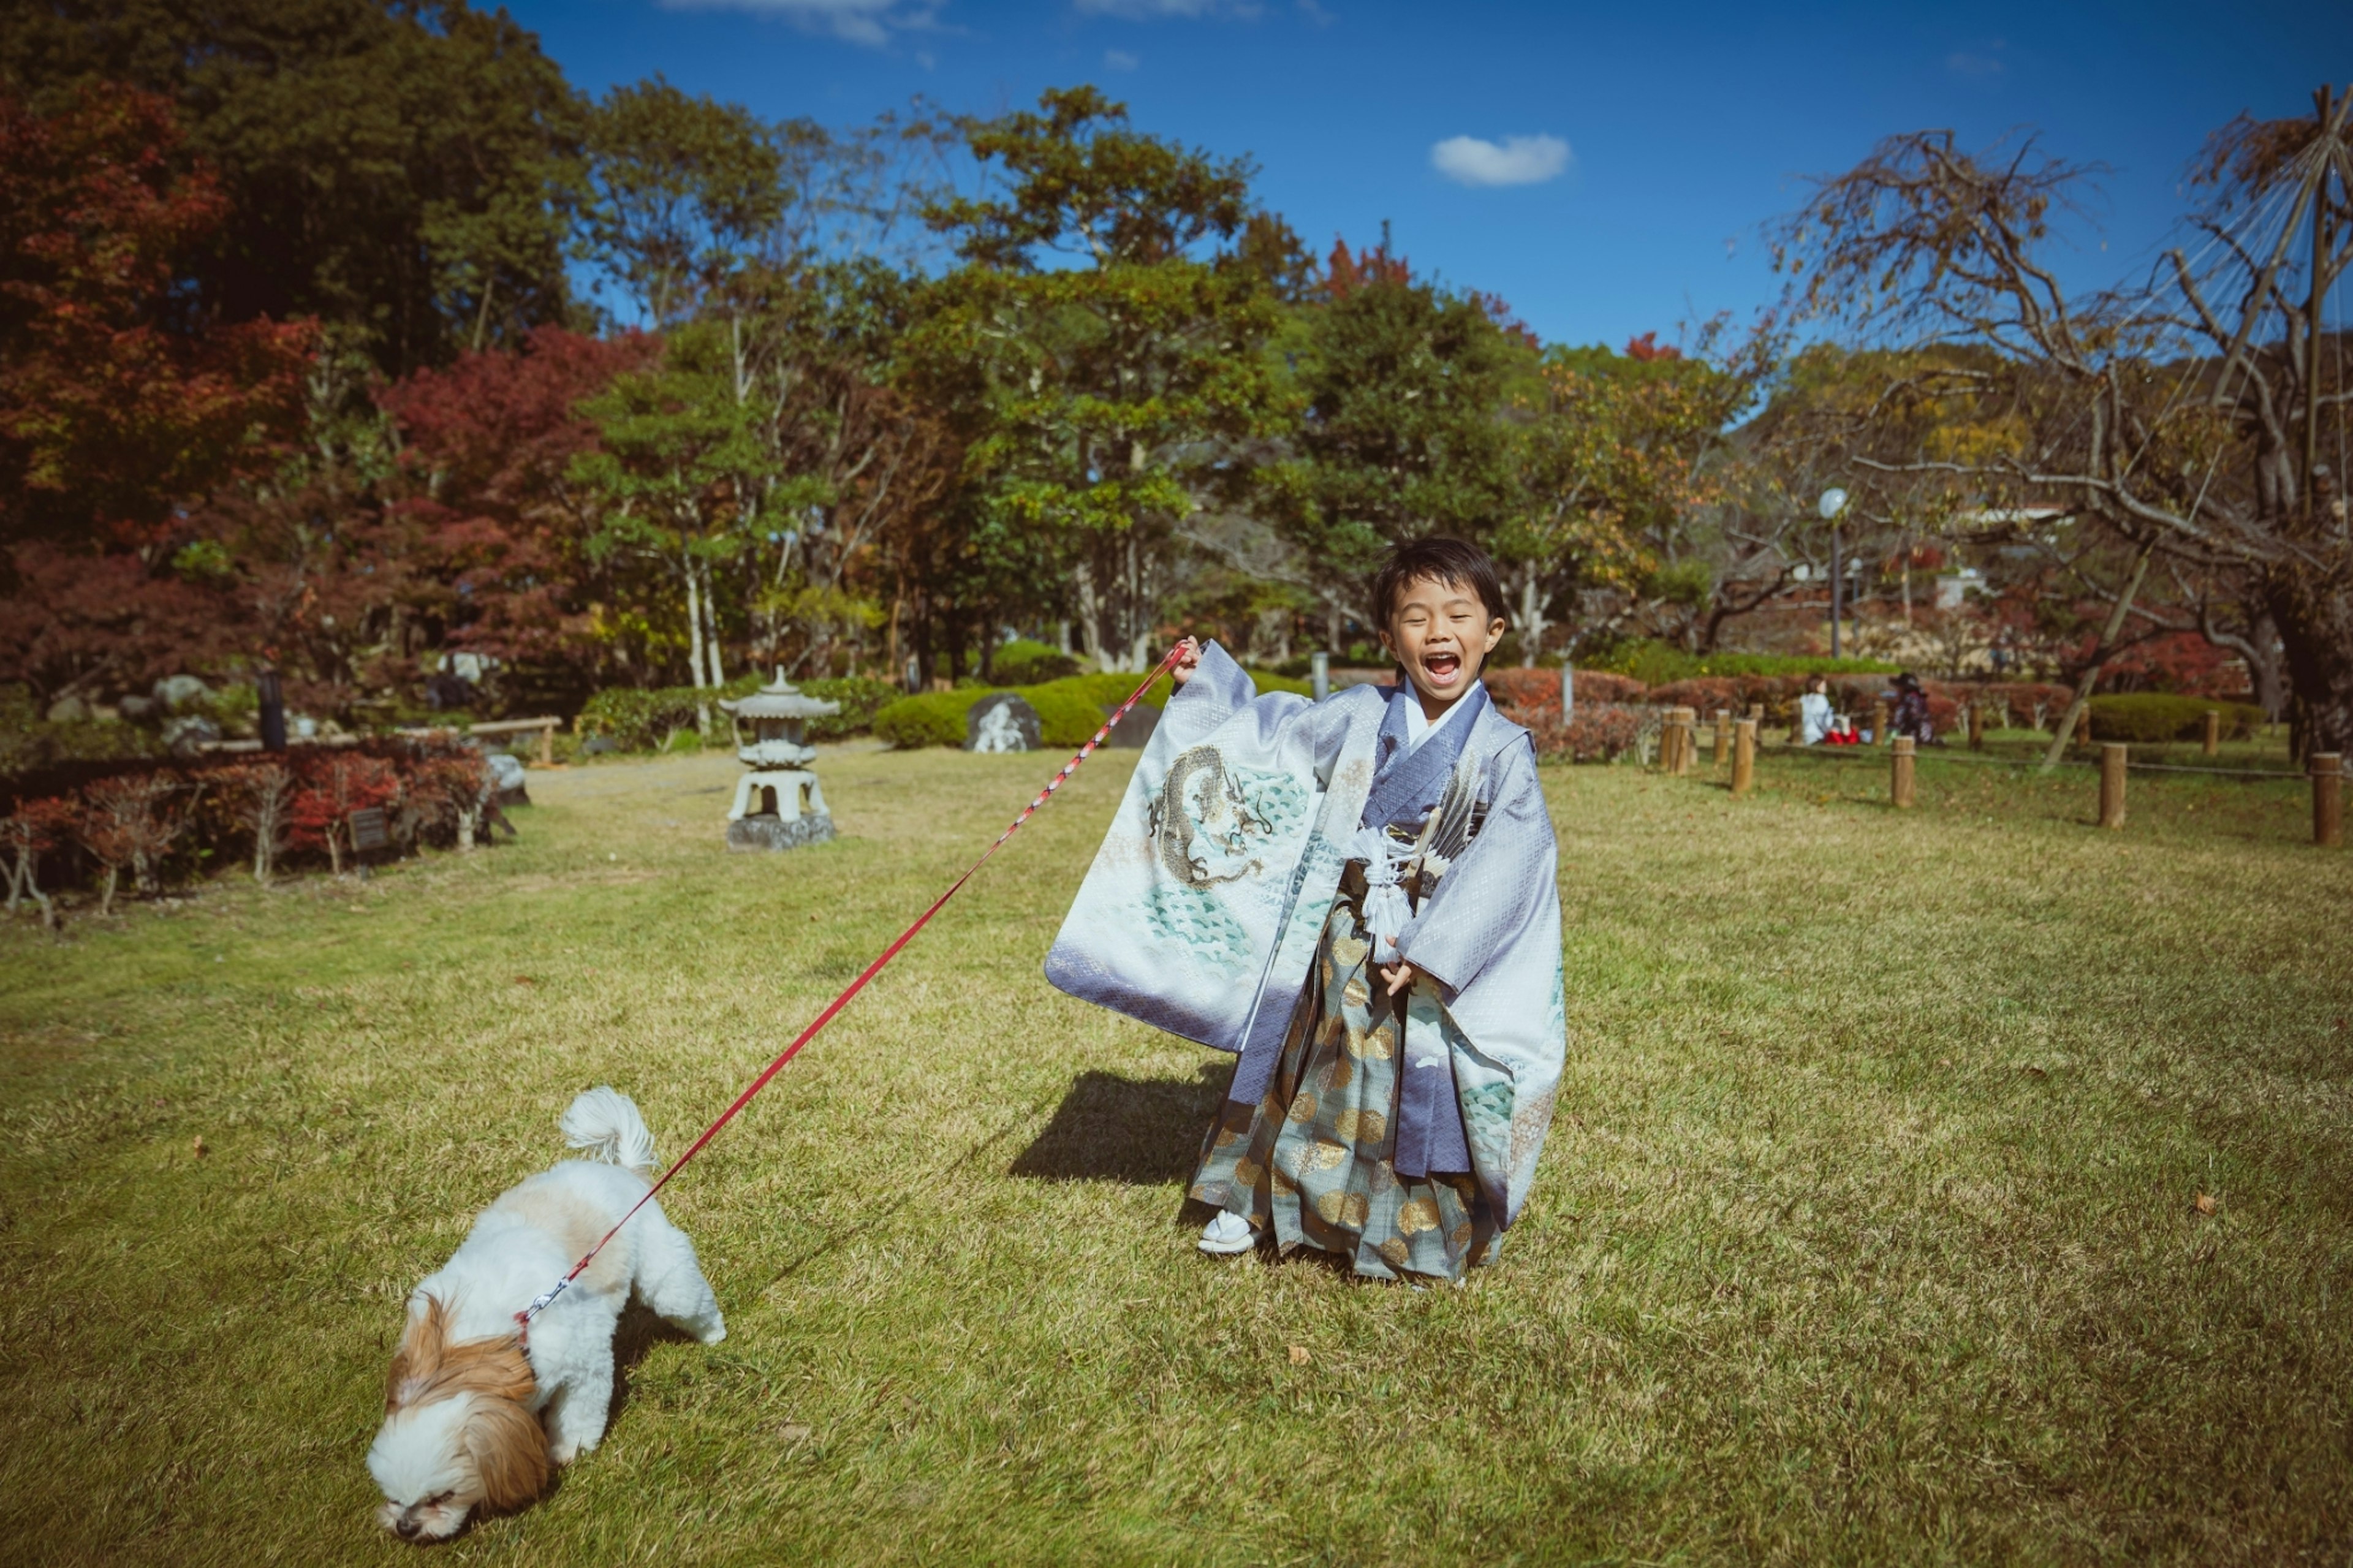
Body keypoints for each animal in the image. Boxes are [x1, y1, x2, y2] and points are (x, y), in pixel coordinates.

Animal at [357, 1083, 720, 1535]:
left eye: (443, 1496)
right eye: (393, 1497)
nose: (407, 1527)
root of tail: (624, 1171)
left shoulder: (583, 1362)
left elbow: (578, 1412)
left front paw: (569, 1450)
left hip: (665, 1272)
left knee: (685, 1297)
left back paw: (715, 1334)